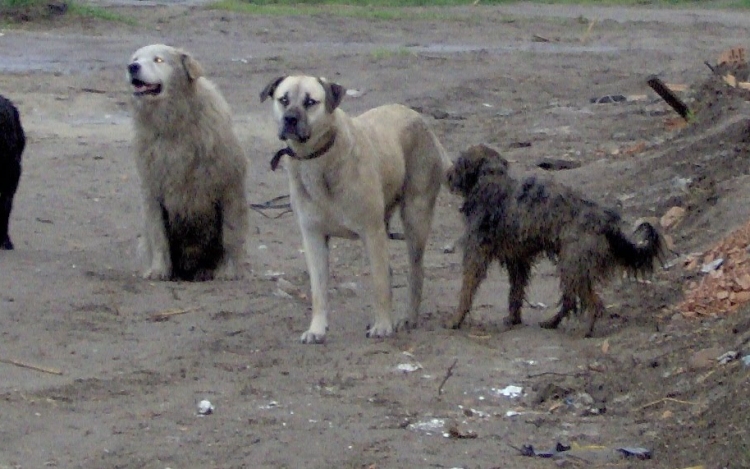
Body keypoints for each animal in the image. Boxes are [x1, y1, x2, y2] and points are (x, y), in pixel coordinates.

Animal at [128, 44, 248, 280]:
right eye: (136, 58)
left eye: (158, 59)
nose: (132, 67)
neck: (173, 127)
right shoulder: (152, 191)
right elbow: (158, 235)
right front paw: (159, 270)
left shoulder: (229, 188)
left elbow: (230, 235)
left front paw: (228, 271)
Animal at [262, 75, 452, 342]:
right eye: (283, 100)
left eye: (310, 102)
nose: (289, 119)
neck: (318, 159)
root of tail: (422, 121)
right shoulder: (313, 236)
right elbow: (318, 290)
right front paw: (316, 329)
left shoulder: (371, 232)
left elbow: (380, 284)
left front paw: (382, 325)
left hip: (415, 216)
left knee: (415, 271)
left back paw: (408, 317)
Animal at [446, 144, 664, 336]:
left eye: (459, 163)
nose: (447, 175)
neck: (491, 180)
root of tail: (605, 220)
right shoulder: (518, 260)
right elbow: (515, 293)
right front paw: (513, 319)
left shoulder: (476, 255)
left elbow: (466, 291)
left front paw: (455, 320)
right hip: (572, 268)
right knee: (570, 301)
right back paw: (552, 322)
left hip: (573, 266)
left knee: (592, 303)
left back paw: (586, 330)